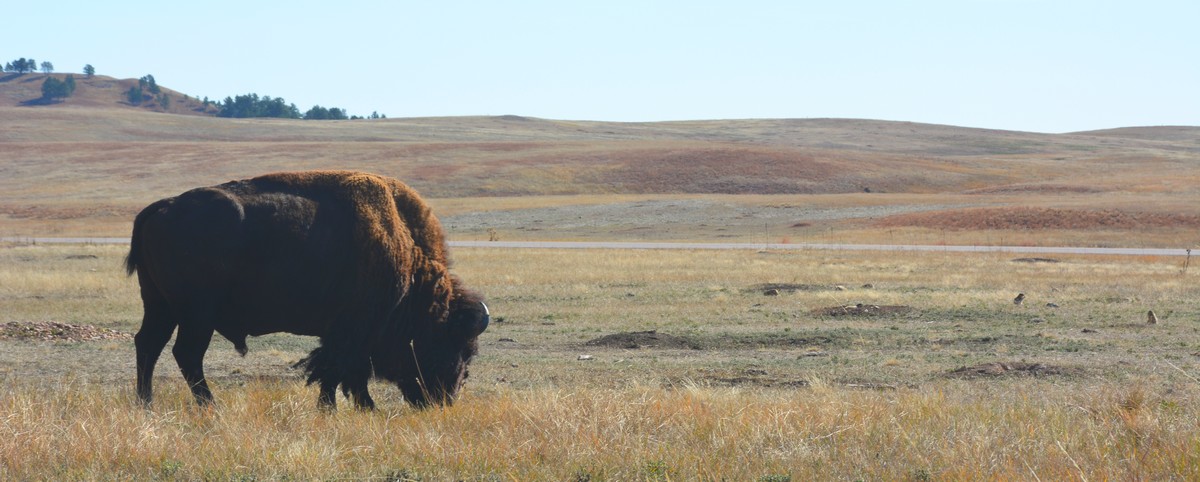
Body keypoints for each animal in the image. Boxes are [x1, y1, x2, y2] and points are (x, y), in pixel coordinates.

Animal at [124, 171, 489, 407]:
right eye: (456, 343)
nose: (445, 399)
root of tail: (162, 207)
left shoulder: (346, 334)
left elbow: (341, 372)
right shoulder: (352, 331)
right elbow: (337, 370)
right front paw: (344, 408)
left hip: (159, 304)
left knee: (149, 344)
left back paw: (146, 403)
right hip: (196, 313)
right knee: (186, 353)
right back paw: (210, 406)